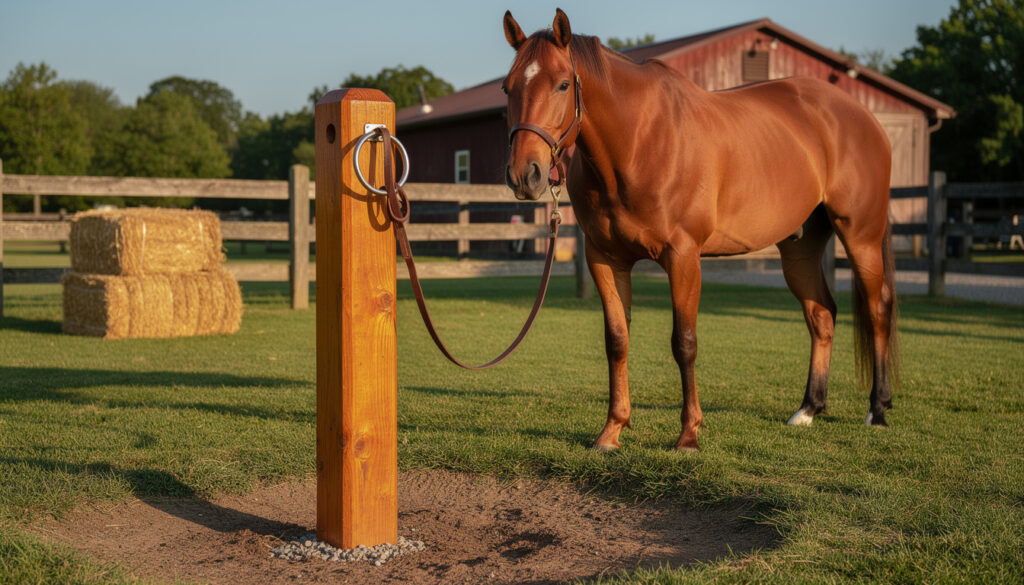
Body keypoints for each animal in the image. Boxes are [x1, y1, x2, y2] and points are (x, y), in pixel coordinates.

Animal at [502, 9, 898, 451]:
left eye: (563, 84)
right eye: (507, 87)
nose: (525, 175)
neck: (637, 141)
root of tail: (865, 118)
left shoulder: (684, 257)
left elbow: (684, 343)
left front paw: (688, 434)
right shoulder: (604, 258)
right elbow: (617, 340)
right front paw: (611, 431)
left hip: (860, 235)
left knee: (878, 309)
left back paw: (878, 409)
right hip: (800, 248)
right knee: (821, 315)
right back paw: (809, 409)